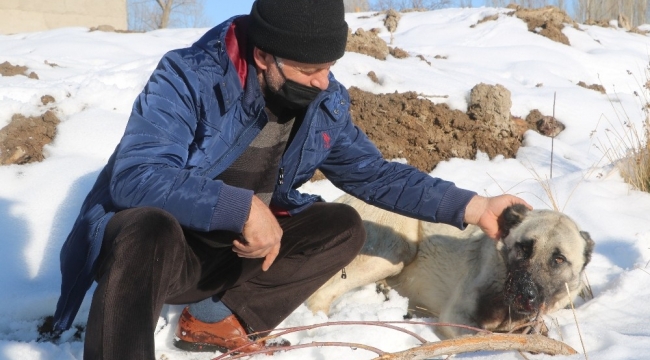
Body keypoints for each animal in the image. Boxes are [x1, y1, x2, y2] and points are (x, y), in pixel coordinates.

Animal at [306, 193, 592, 338]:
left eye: (558, 259)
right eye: (523, 248)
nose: (525, 292)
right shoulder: (455, 317)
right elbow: (482, 337)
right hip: (397, 249)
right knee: (318, 296)